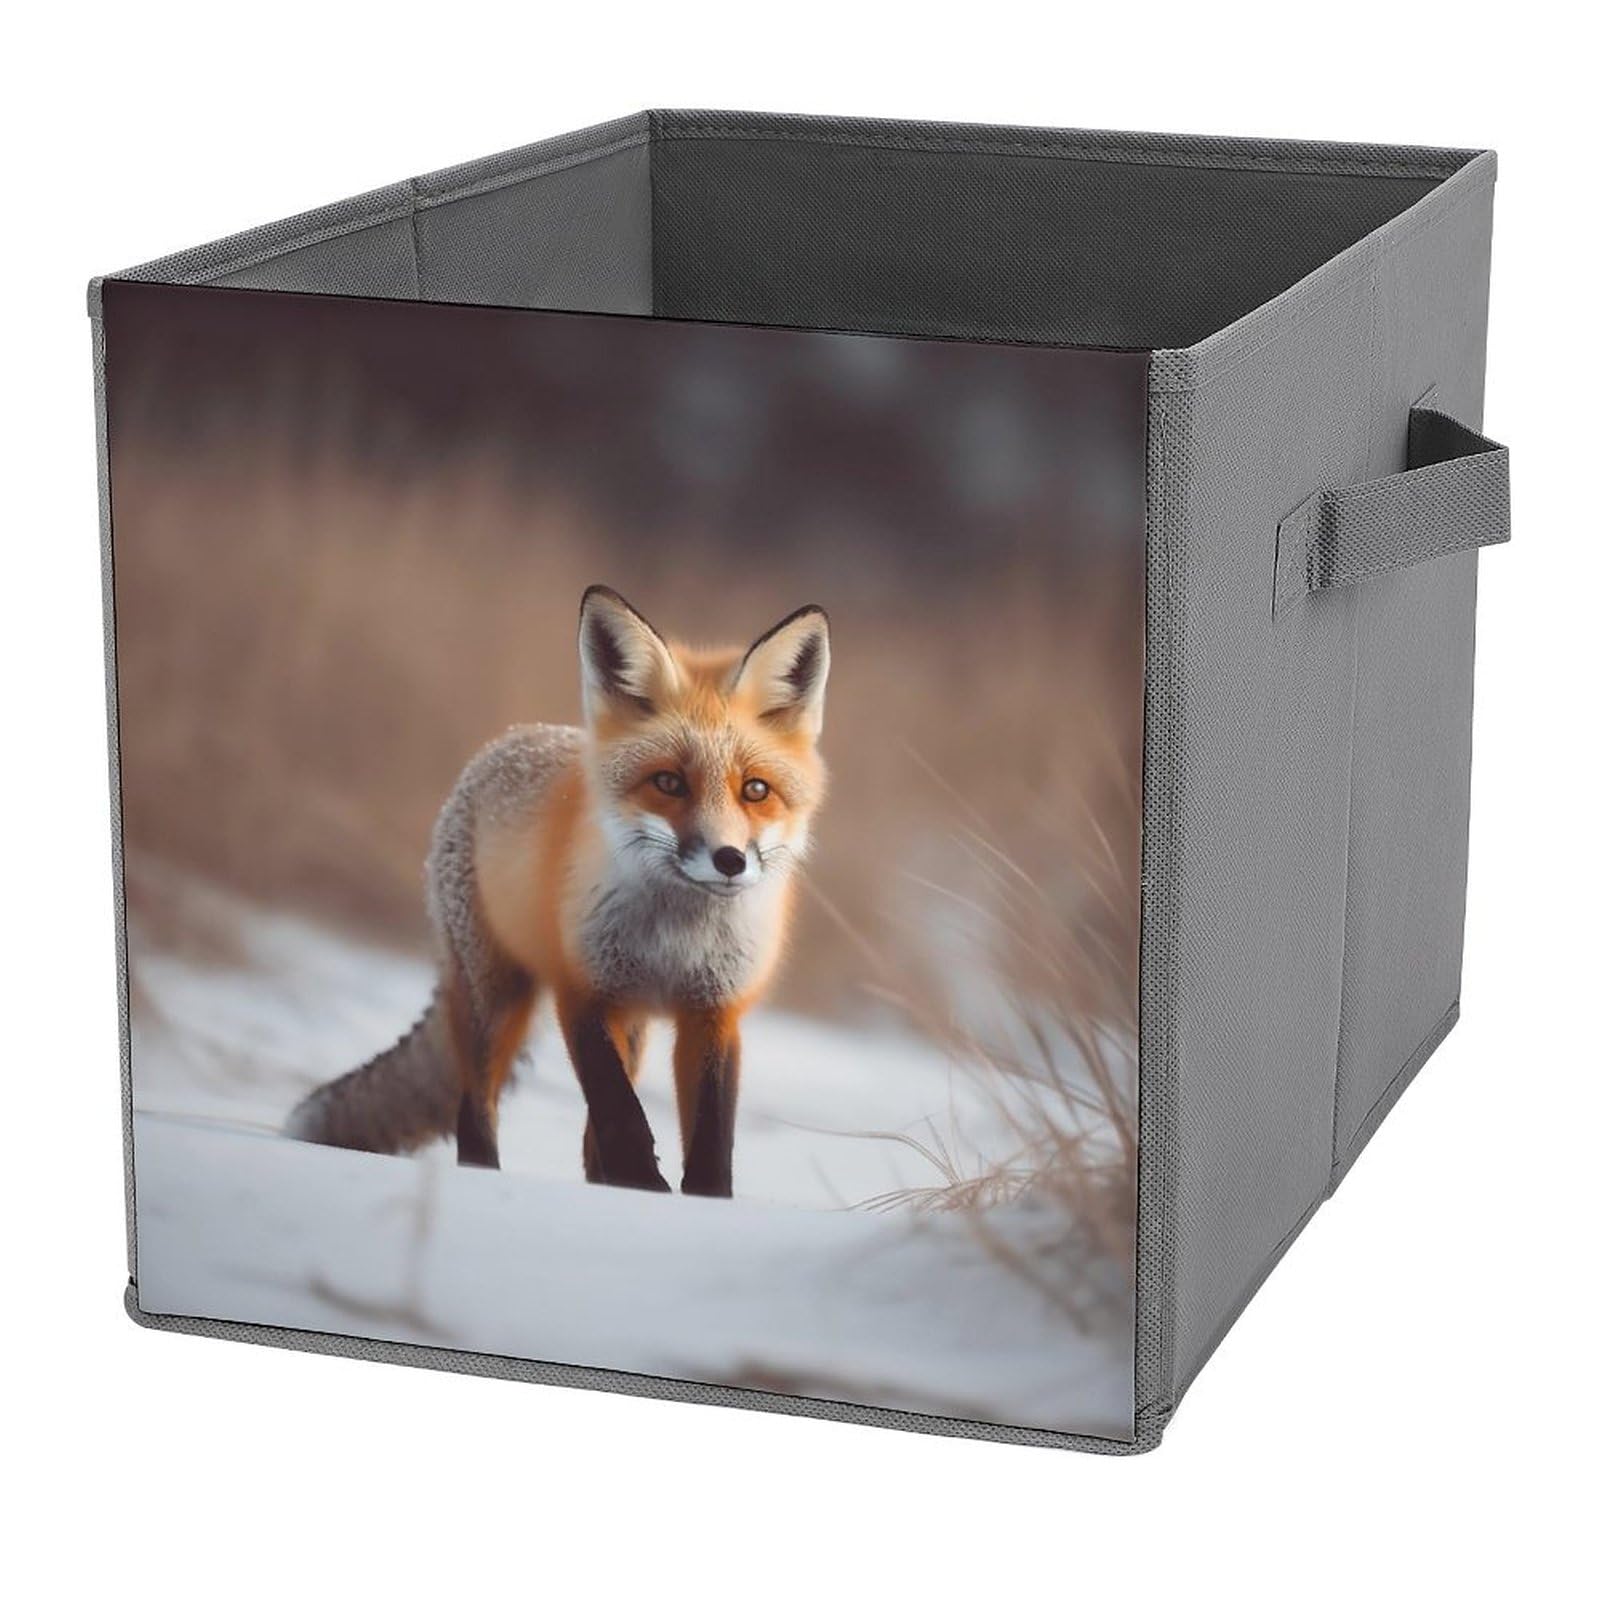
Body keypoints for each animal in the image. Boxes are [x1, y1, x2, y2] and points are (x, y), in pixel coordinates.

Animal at [286, 585, 830, 1197]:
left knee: (586, 1136)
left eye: (755, 790)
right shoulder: (583, 989)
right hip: (497, 1000)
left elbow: (710, 1131)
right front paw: (645, 1187)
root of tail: (510, 739)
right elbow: (619, 1110)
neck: (676, 938)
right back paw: (488, 1176)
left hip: (628, 1025)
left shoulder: (715, 1010)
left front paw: (702, 1202)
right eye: (669, 783)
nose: (729, 860)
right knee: (474, 1106)